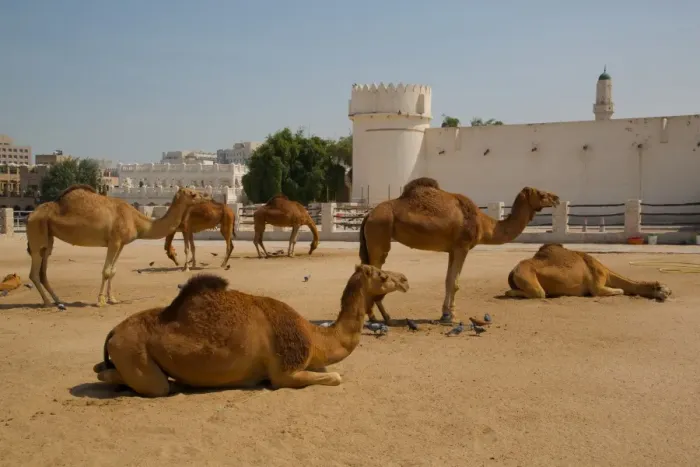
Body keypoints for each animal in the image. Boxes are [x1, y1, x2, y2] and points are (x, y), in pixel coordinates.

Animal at [26, 185, 206, 307]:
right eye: (193, 193)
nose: (207, 196)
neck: (136, 220)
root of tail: (30, 215)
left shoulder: (121, 244)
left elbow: (113, 271)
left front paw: (112, 298)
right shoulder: (114, 241)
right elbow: (106, 271)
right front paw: (100, 300)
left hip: (48, 237)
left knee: (43, 268)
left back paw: (58, 300)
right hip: (36, 231)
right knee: (34, 271)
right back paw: (48, 302)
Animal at [92, 264, 409, 397]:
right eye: (382, 275)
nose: (404, 280)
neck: (315, 336)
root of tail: (112, 332)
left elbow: (328, 372)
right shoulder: (284, 373)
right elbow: (335, 377)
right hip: (136, 355)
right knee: (153, 384)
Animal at [359, 177, 560, 324]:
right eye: (542, 194)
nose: (557, 198)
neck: (484, 223)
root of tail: (368, 215)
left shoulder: (452, 249)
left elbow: (448, 280)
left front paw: (445, 314)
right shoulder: (463, 246)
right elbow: (455, 283)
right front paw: (453, 317)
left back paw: (383, 317)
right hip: (380, 235)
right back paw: (377, 317)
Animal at [504, 243, 672, 301]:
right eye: (662, 288)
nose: (668, 293)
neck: (606, 272)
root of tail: (512, 271)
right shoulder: (597, 285)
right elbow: (621, 290)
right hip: (529, 279)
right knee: (538, 293)